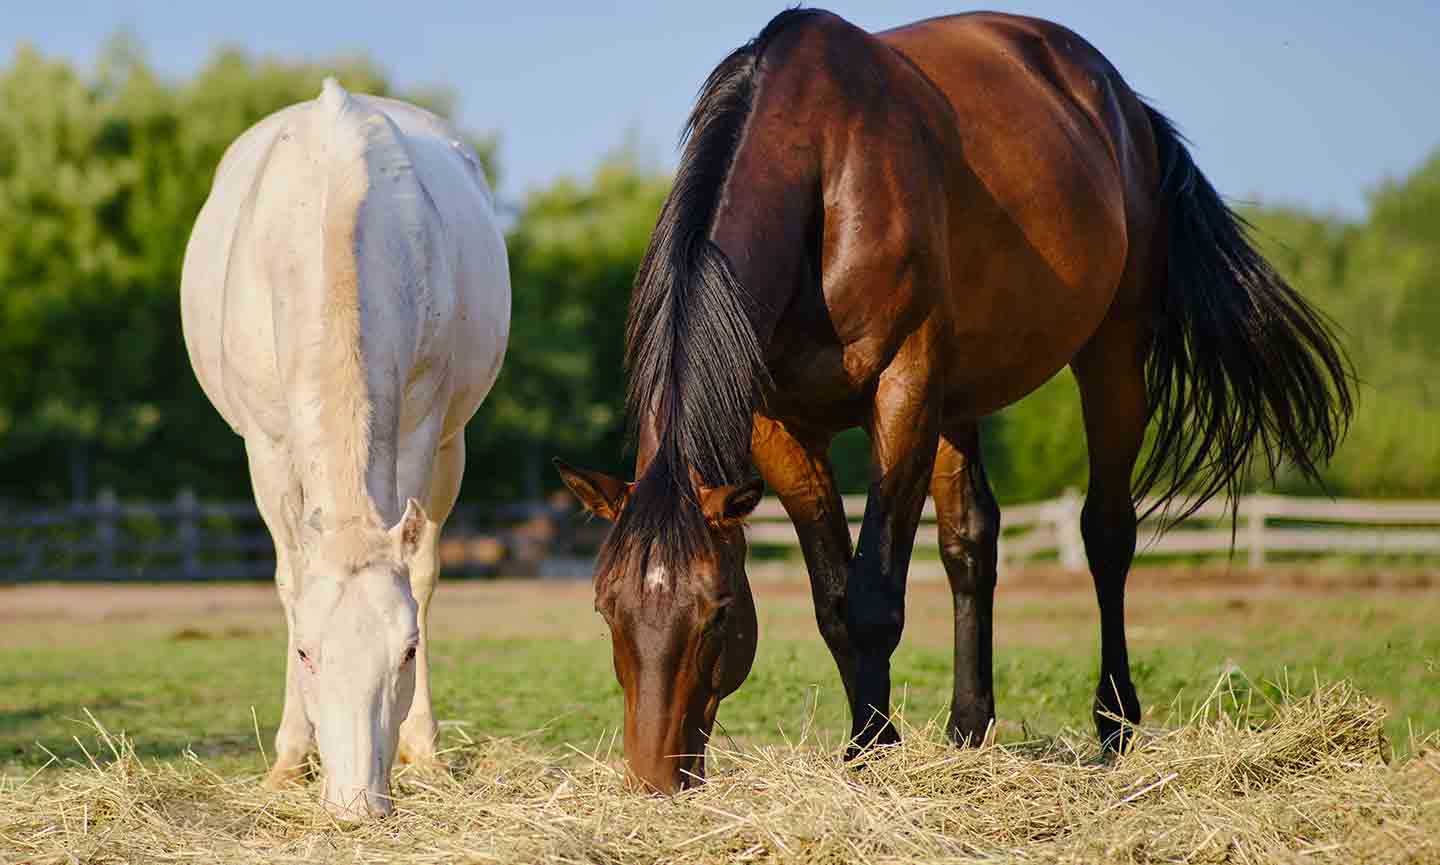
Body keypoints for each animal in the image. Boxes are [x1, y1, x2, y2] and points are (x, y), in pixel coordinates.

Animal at [181, 79, 509, 817]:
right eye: (306, 652)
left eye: (407, 651)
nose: (357, 804)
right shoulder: (267, 448)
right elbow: (290, 577)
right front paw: (289, 758)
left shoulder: (422, 427)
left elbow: (417, 571)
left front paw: (423, 752)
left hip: (453, 446)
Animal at [554, 9, 1352, 793]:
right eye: (606, 610)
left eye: (719, 613)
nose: (655, 779)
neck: (822, 169)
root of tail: (1123, 105)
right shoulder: (783, 429)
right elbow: (834, 601)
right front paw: (875, 739)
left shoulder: (903, 389)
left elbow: (873, 598)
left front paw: (872, 753)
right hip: (958, 400)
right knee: (971, 540)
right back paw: (969, 729)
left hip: (1111, 354)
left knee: (1106, 533)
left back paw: (1115, 723)